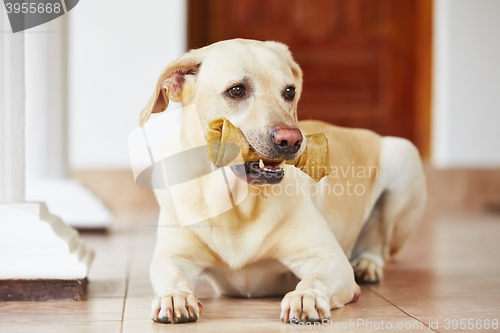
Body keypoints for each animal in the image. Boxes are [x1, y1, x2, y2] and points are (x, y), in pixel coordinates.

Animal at [140, 37, 426, 322]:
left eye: (289, 92)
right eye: (236, 90)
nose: (291, 140)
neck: (236, 204)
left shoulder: (330, 258)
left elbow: (315, 279)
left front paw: (306, 297)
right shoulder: (171, 257)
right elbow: (172, 277)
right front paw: (174, 297)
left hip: (403, 156)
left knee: (379, 243)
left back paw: (367, 264)